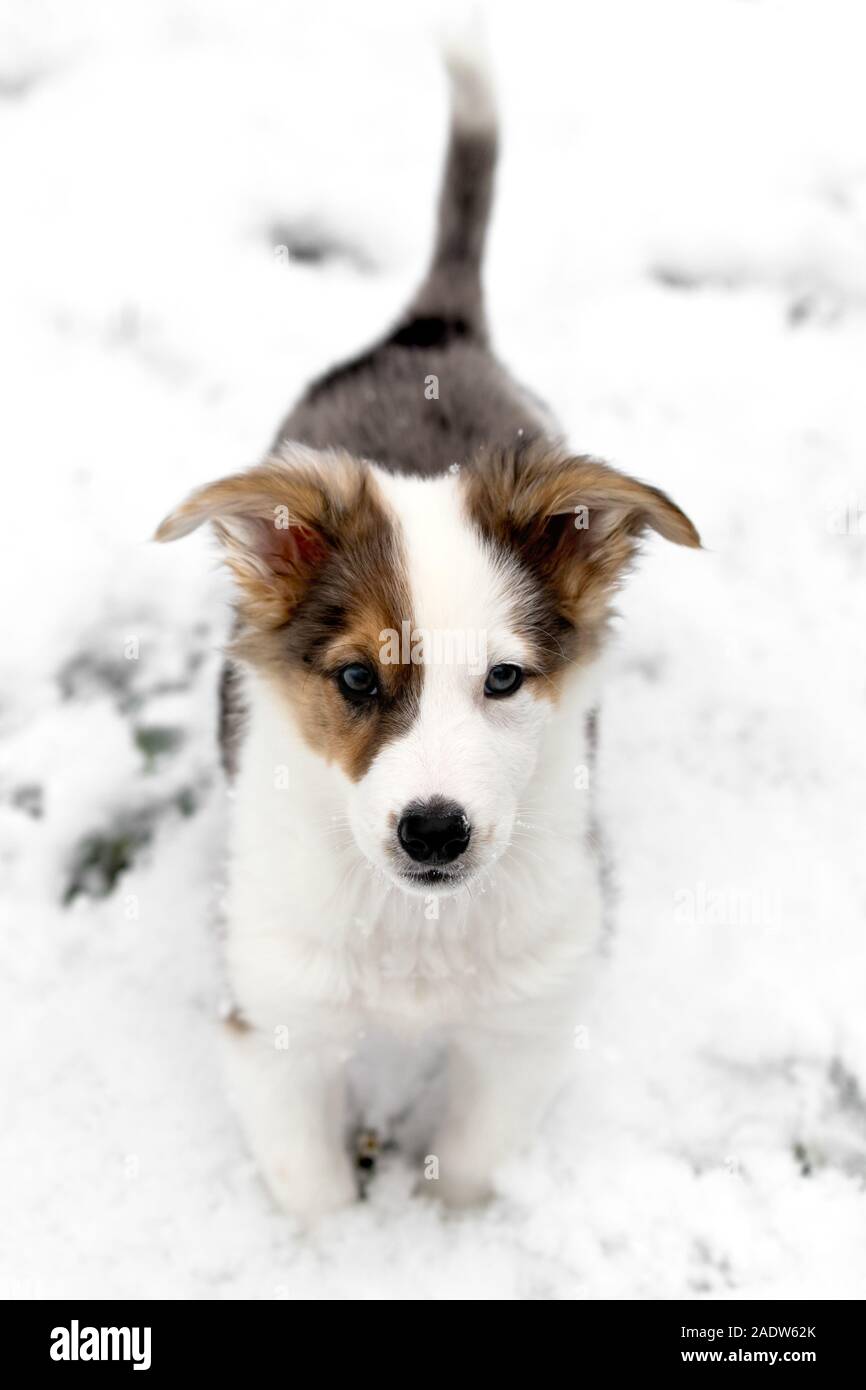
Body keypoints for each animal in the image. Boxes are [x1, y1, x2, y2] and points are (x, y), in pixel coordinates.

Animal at [154, 43, 697, 1223]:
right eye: (357, 681)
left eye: (505, 679)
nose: (434, 833)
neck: (415, 931)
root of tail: (431, 327)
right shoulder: (275, 1031)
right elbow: (312, 1196)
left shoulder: (523, 1028)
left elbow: (473, 1169)